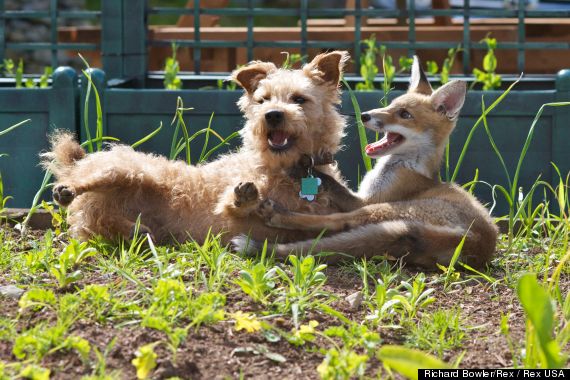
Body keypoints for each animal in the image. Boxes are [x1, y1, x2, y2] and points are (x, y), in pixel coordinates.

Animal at [45, 51, 350, 243]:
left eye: (299, 99)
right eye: (263, 100)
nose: (272, 114)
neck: (287, 170)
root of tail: (78, 162)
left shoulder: (302, 222)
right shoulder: (226, 202)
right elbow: (232, 205)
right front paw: (244, 198)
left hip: (108, 211)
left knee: (102, 224)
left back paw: (136, 232)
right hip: (127, 170)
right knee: (86, 184)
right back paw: (67, 190)